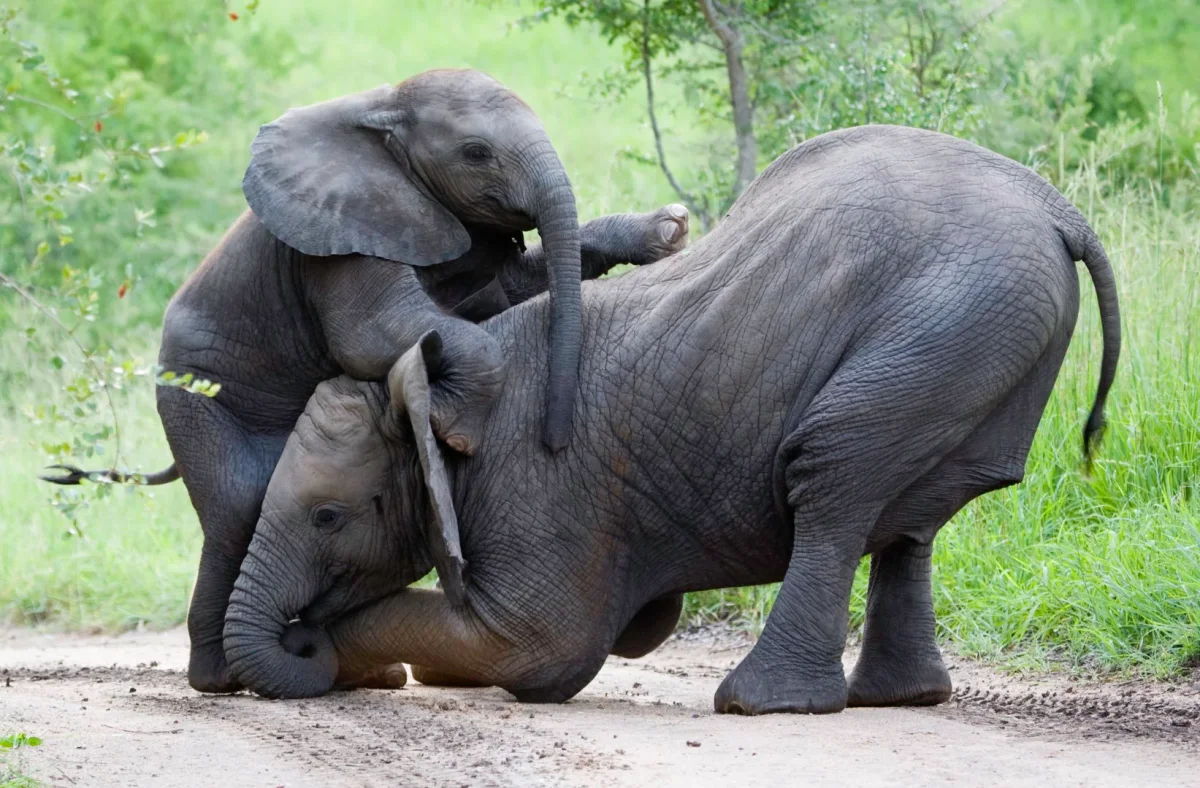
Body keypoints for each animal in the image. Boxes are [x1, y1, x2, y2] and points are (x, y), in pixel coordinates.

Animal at [41, 68, 690, 694]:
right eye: (476, 153)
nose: (555, 439)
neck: (387, 106)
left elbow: (504, 290)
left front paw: (664, 231)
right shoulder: (344, 233)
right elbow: (375, 333)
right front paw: (456, 426)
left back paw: (370, 678)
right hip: (191, 395)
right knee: (238, 507)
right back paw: (220, 680)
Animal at [222, 125, 1121, 712]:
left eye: (331, 516)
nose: (297, 638)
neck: (436, 387)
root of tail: (1057, 206)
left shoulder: (537, 485)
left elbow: (536, 646)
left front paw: (338, 650)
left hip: (949, 323)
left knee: (833, 476)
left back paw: (762, 705)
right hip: (978, 337)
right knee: (909, 522)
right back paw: (901, 698)